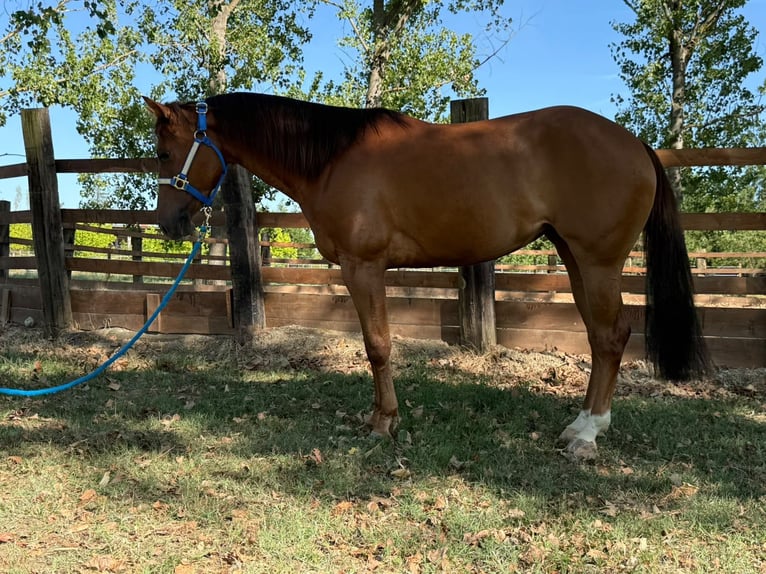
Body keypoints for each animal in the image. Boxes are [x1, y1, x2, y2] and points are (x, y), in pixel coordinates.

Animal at [144, 92, 711, 460]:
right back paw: (578, 425)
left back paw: (588, 436)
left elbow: (377, 346)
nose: (168, 223)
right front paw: (381, 416)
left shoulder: (364, 267)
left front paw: (383, 423)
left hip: (598, 261)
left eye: (165, 152)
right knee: (598, 338)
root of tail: (636, 145)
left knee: (613, 337)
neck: (330, 160)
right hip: (574, 258)